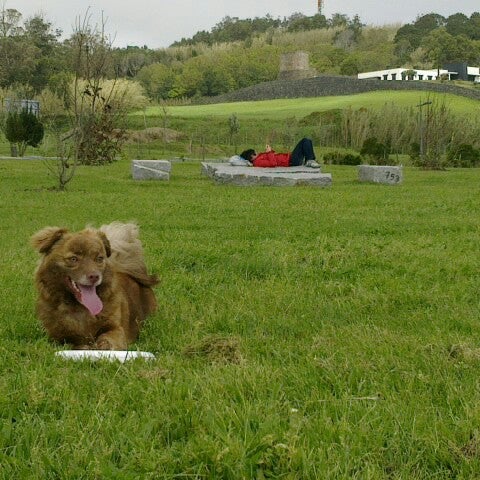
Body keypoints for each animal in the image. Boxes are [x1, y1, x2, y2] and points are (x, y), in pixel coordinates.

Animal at [31, 222, 158, 350]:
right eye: (73, 259)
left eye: (99, 258)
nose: (95, 277)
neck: (81, 308)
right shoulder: (56, 338)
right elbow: (72, 343)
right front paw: (84, 347)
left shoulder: (116, 328)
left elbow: (108, 337)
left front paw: (104, 346)